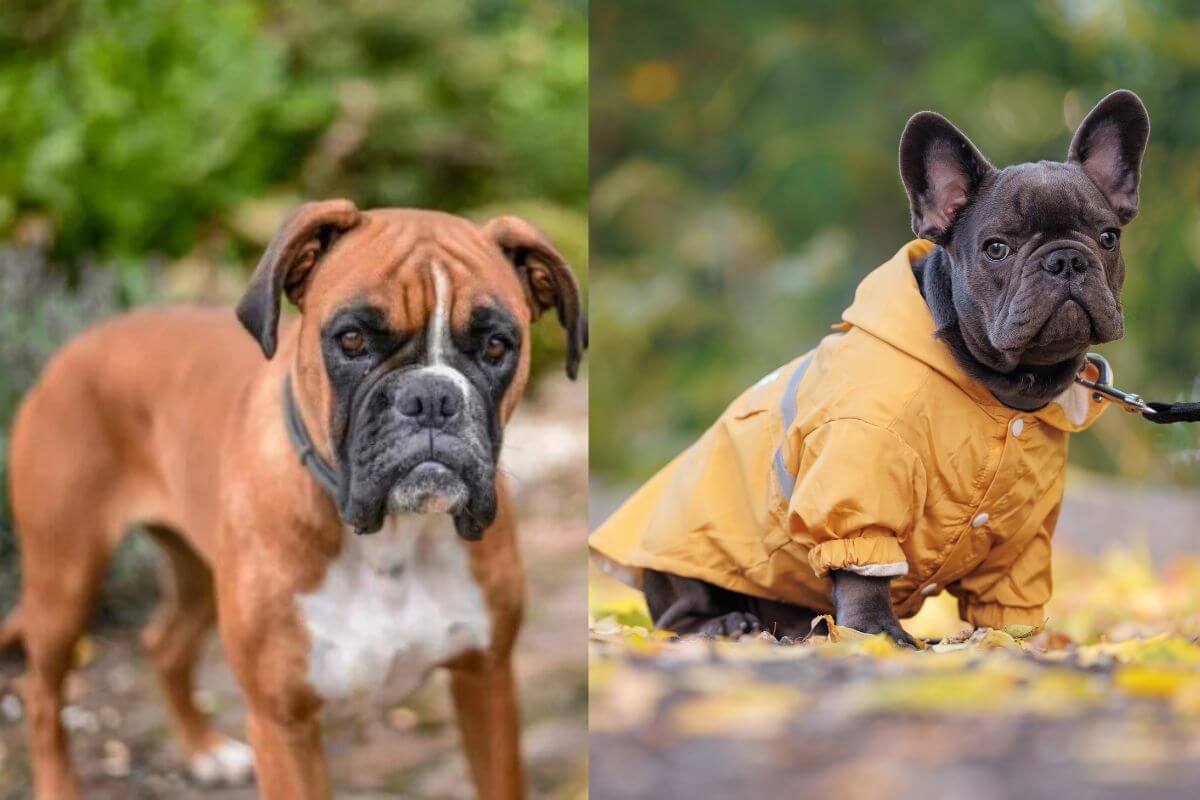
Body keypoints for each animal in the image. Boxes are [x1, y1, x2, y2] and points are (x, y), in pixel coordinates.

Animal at [0, 196, 580, 796]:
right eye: (352, 340)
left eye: (496, 346)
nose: (432, 396)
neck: (389, 539)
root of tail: (74, 348)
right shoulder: (283, 724)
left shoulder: (486, 680)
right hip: (65, 579)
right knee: (42, 694)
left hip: (196, 570)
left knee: (164, 645)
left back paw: (205, 750)